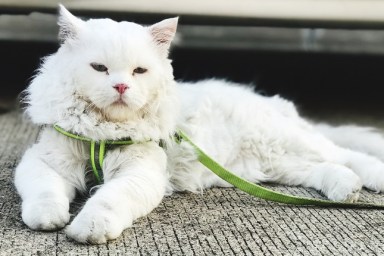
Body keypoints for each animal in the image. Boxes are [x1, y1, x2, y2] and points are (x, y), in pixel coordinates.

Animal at [15, 5, 384, 243]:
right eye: (99, 68)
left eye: (139, 71)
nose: (121, 87)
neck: (102, 134)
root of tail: (270, 102)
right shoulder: (45, 161)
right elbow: (44, 191)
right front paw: (48, 219)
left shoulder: (139, 173)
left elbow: (108, 200)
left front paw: (88, 229)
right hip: (273, 164)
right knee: (324, 169)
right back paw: (345, 189)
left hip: (285, 141)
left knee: (348, 155)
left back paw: (372, 180)